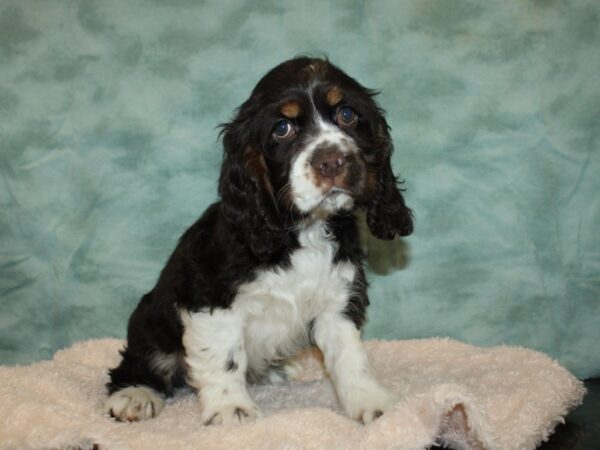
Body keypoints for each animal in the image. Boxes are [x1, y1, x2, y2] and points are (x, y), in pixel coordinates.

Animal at [105, 56, 412, 426]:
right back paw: (134, 395)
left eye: (348, 115)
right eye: (282, 128)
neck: (303, 231)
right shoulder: (210, 298)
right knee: (139, 363)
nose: (331, 161)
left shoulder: (338, 298)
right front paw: (230, 410)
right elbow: (225, 356)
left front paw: (373, 403)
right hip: (152, 323)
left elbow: (350, 357)